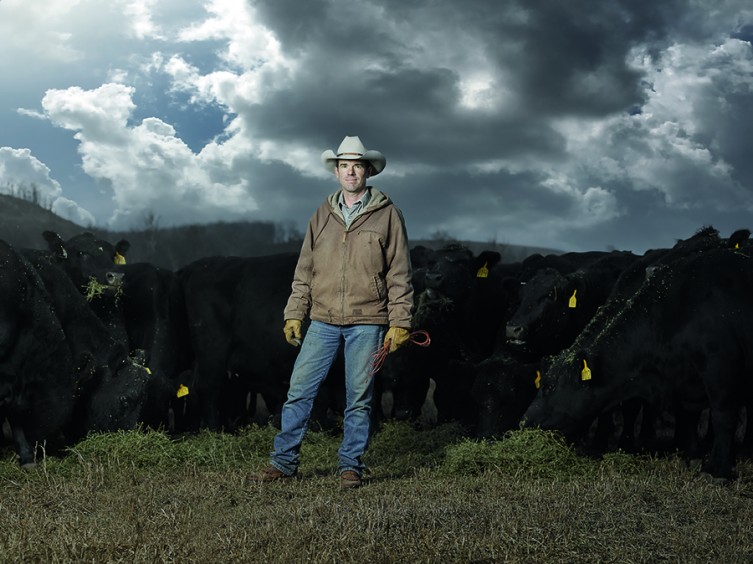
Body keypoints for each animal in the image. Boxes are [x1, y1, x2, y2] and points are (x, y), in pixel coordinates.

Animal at [524, 240, 752, 482]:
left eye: (549, 387)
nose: (523, 423)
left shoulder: (721, 368)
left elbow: (723, 417)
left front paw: (718, 470)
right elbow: (687, 416)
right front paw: (693, 456)